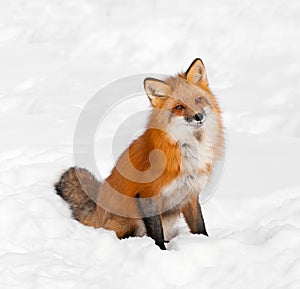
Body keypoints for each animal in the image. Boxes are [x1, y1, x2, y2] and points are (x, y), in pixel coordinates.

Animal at [54, 58, 223, 248]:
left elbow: (200, 226)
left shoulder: (191, 194)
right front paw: (161, 251)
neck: (189, 149)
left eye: (198, 99)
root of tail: (96, 210)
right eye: (179, 107)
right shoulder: (148, 195)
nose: (198, 116)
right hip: (129, 221)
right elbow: (156, 235)